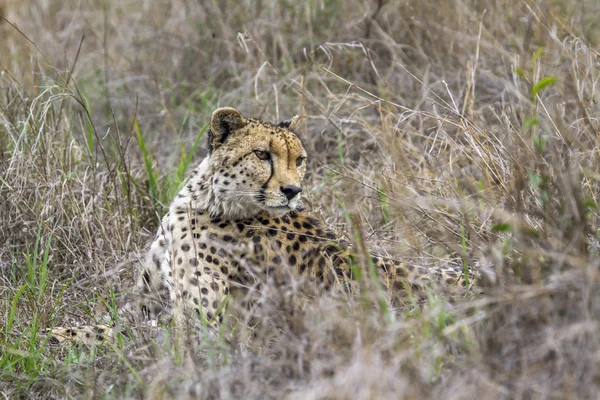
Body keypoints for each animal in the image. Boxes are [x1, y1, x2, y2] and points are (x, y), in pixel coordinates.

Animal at [48, 107, 478, 344]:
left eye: (299, 160)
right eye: (262, 155)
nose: (292, 190)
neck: (205, 198)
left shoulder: (205, 324)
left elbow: (124, 334)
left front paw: (57, 337)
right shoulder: (145, 301)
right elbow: (111, 320)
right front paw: (59, 330)